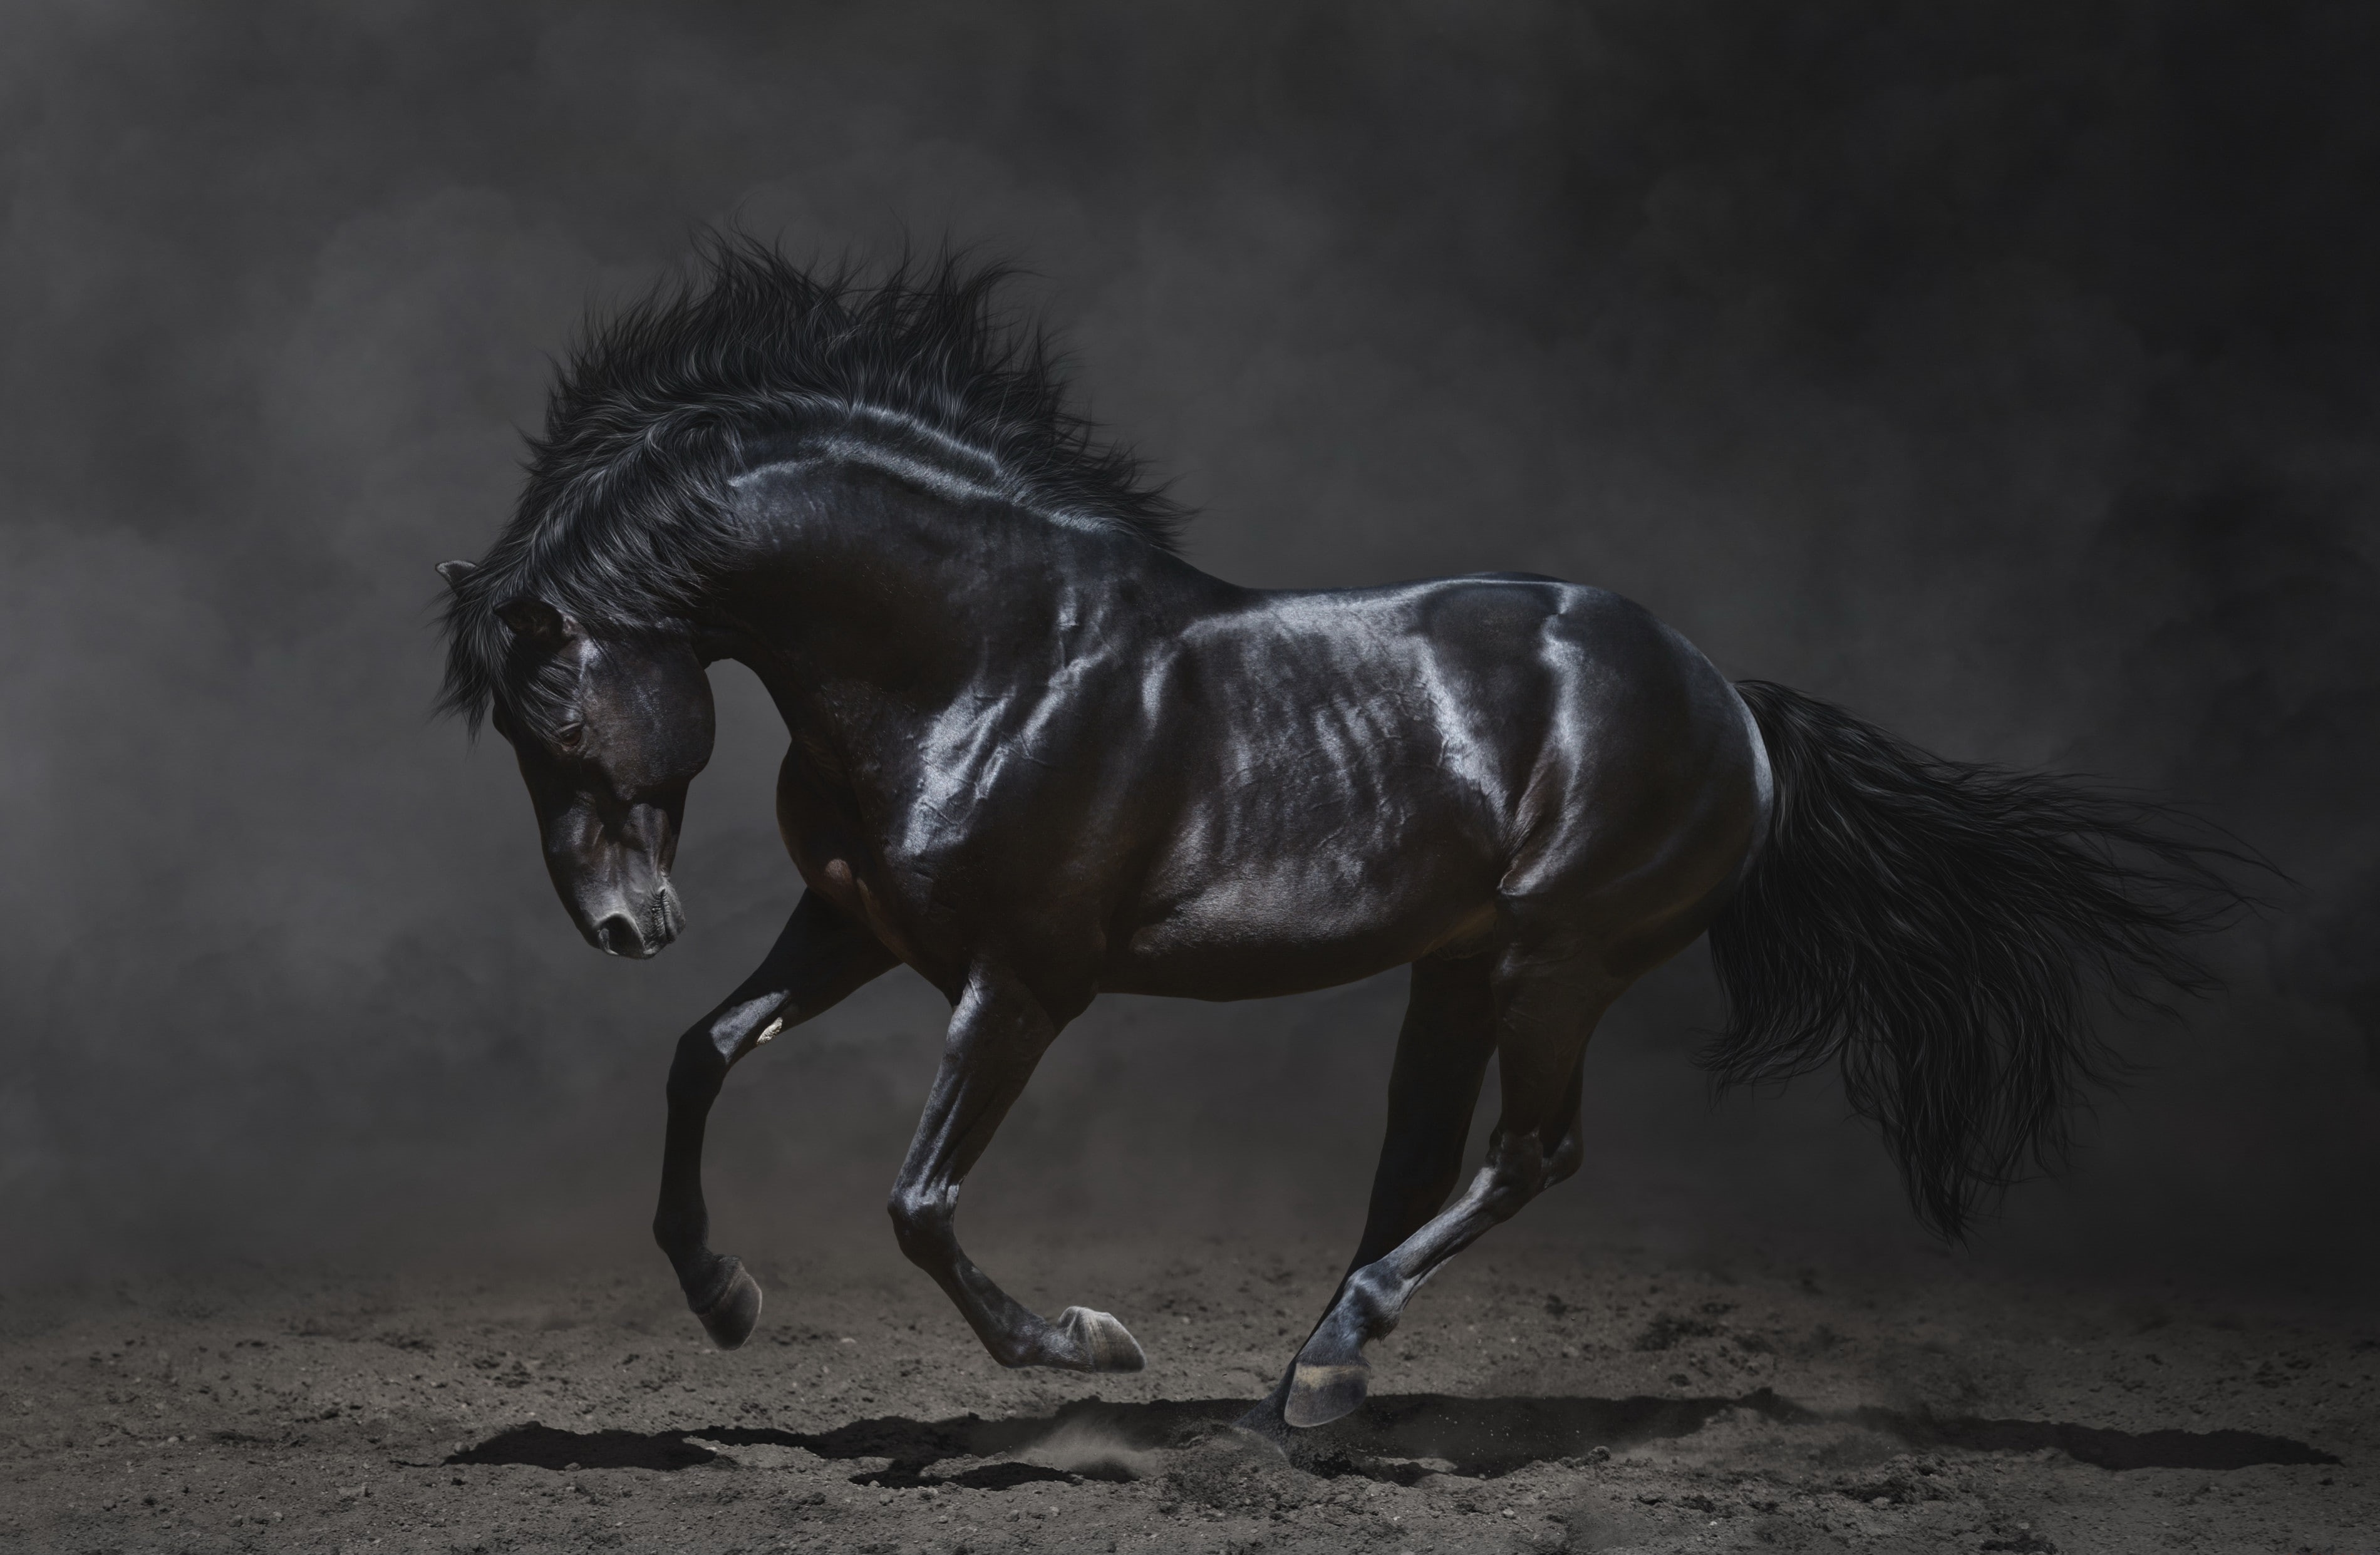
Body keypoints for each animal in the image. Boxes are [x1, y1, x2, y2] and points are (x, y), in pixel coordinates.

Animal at [436, 242, 2244, 1439]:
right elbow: (702, 1053)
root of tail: (1727, 696)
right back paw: (1310, 1380)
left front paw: (1085, 1345)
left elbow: (920, 1199)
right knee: (1418, 1164)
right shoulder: (856, 927)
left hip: (1558, 958)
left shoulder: (1021, 981)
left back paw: (1323, 1366)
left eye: (557, 720)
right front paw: (722, 1295)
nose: (624, 923)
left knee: (1528, 1153)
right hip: (1458, 966)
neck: (987, 657)